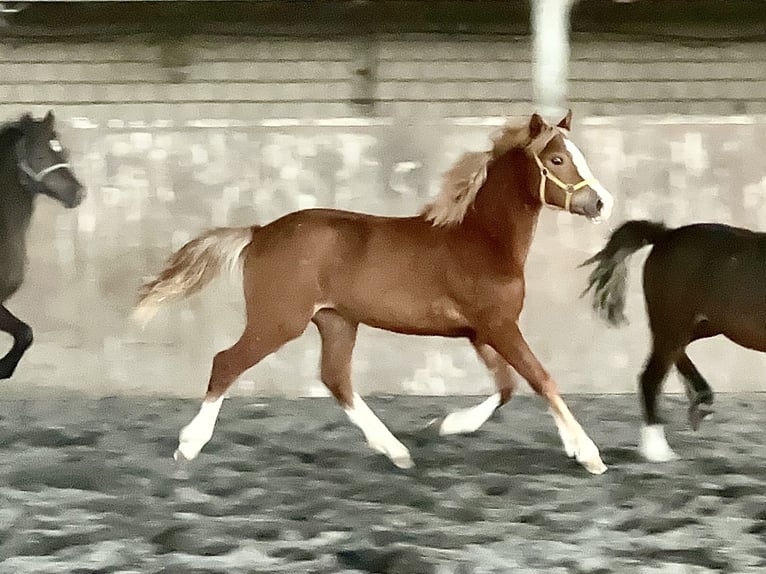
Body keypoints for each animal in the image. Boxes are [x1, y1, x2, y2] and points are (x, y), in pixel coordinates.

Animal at [135, 110, 616, 474]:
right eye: (557, 159)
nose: (600, 203)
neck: (481, 239)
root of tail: (258, 233)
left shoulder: (480, 331)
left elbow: (508, 386)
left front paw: (448, 425)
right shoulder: (499, 325)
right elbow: (540, 379)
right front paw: (588, 454)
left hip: (336, 321)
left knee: (336, 379)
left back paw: (396, 450)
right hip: (279, 321)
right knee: (226, 363)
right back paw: (189, 445)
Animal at [584, 220, 764, 464]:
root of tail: (666, 235)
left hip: (702, 324)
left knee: (673, 353)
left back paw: (701, 399)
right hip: (675, 320)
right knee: (651, 376)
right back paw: (658, 450)